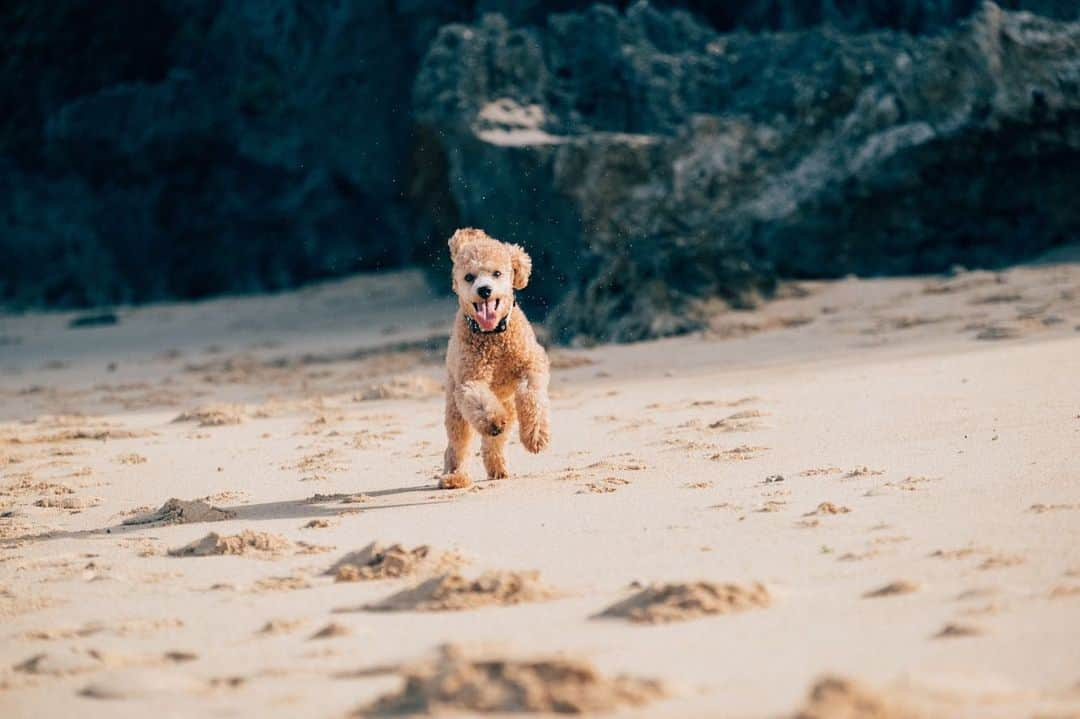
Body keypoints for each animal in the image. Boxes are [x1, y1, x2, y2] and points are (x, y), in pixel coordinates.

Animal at [440, 229, 552, 487]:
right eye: (469, 277)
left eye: (497, 273)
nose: (484, 290)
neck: (492, 336)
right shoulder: (470, 382)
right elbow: (481, 403)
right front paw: (493, 420)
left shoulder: (532, 365)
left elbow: (531, 396)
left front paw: (535, 435)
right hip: (456, 411)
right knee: (458, 446)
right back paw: (455, 477)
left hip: (508, 407)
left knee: (493, 443)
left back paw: (497, 469)